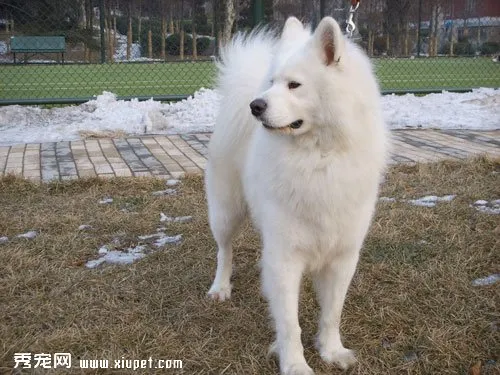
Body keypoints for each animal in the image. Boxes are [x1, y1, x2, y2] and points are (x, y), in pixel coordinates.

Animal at [205, 16, 388, 374]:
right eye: (273, 82)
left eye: (294, 85)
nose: (255, 106)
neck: (318, 158)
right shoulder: (285, 258)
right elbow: (290, 323)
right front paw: (295, 365)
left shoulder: (343, 257)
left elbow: (332, 313)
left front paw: (332, 351)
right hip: (226, 211)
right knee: (224, 251)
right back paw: (220, 287)